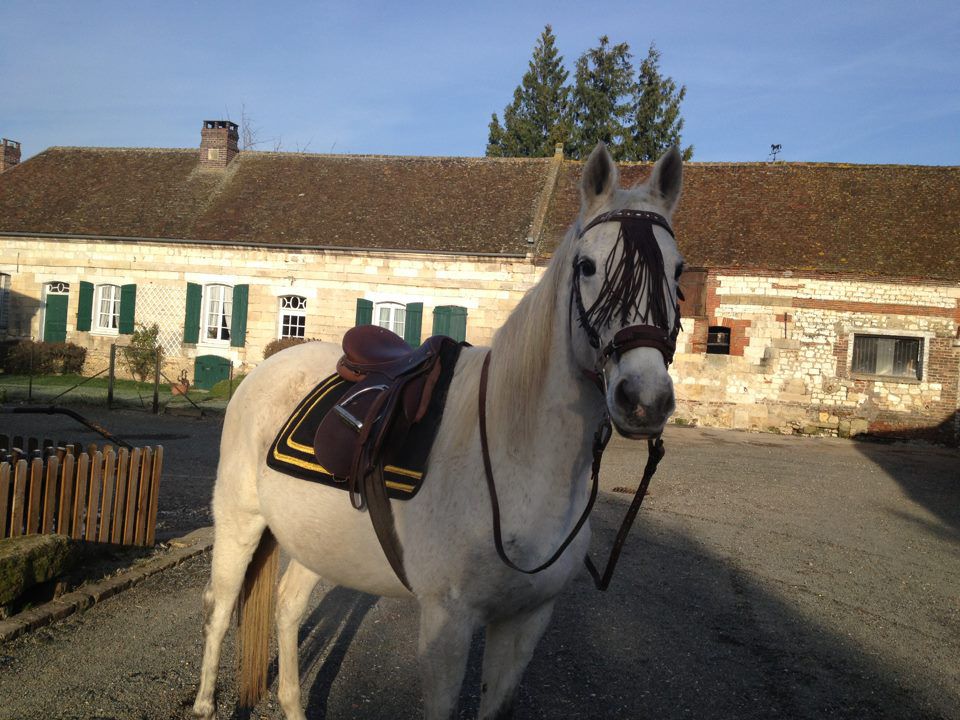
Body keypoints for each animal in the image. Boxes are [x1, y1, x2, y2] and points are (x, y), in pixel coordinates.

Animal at [192, 142, 685, 720]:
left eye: (678, 272)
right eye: (586, 266)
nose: (645, 399)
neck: (519, 460)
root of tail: (269, 365)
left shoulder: (524, 624)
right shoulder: (447, 624)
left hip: (316, 541)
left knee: (287, 607)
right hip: (239, 522)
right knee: (220, 606)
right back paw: (203, 703)